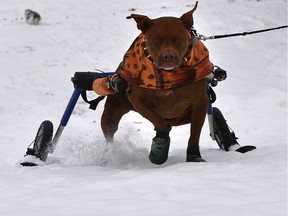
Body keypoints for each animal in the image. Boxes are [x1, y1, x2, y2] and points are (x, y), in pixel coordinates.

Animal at [98, 1, 213, 164]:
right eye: (156, 41)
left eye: (179, 40)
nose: (168, 56)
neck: (169, 76)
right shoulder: (138, 101)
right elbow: (160, 122)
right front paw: (159, 149)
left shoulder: (200, 103)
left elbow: (195, 133)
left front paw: (193, 155)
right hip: (111, 114)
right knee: (109, 134)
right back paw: (109, 156)